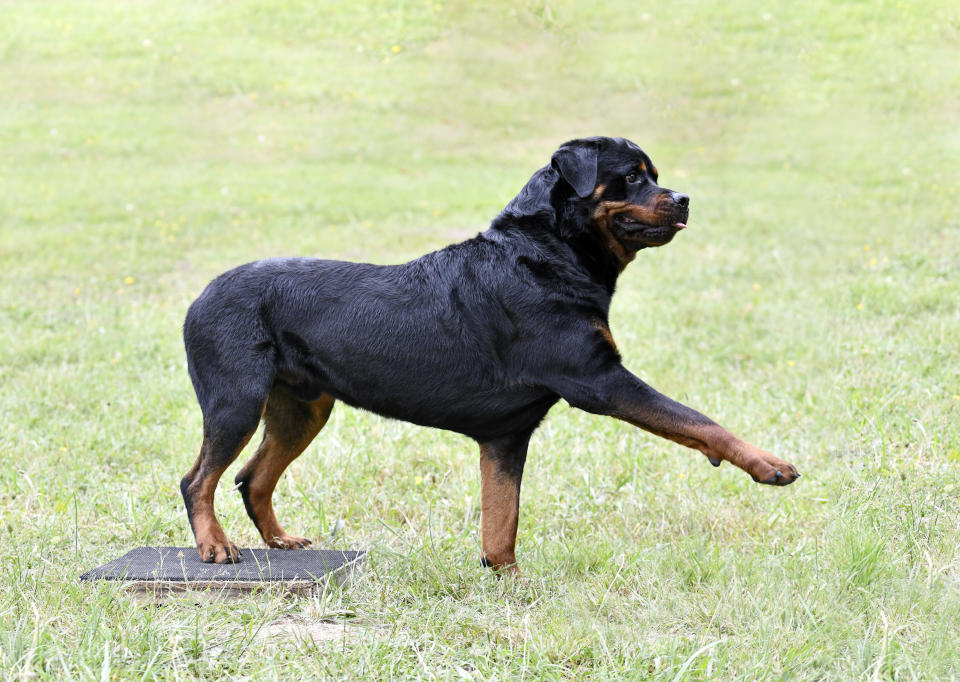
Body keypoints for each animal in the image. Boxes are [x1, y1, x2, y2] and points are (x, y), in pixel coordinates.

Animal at [184, 137, 800, 568]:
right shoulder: (601, 380)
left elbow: (501, 519)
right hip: (237, 399)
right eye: (631, 177)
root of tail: (200, 294)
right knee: (199, 480)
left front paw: (505, 576)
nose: (684, 198)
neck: (549, 254)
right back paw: (216, 547)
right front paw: (768, 464)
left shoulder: (505, 435)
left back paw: (281, 539)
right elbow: (698, 420)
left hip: (304, 407)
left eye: (656, 176)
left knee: (252, 477)